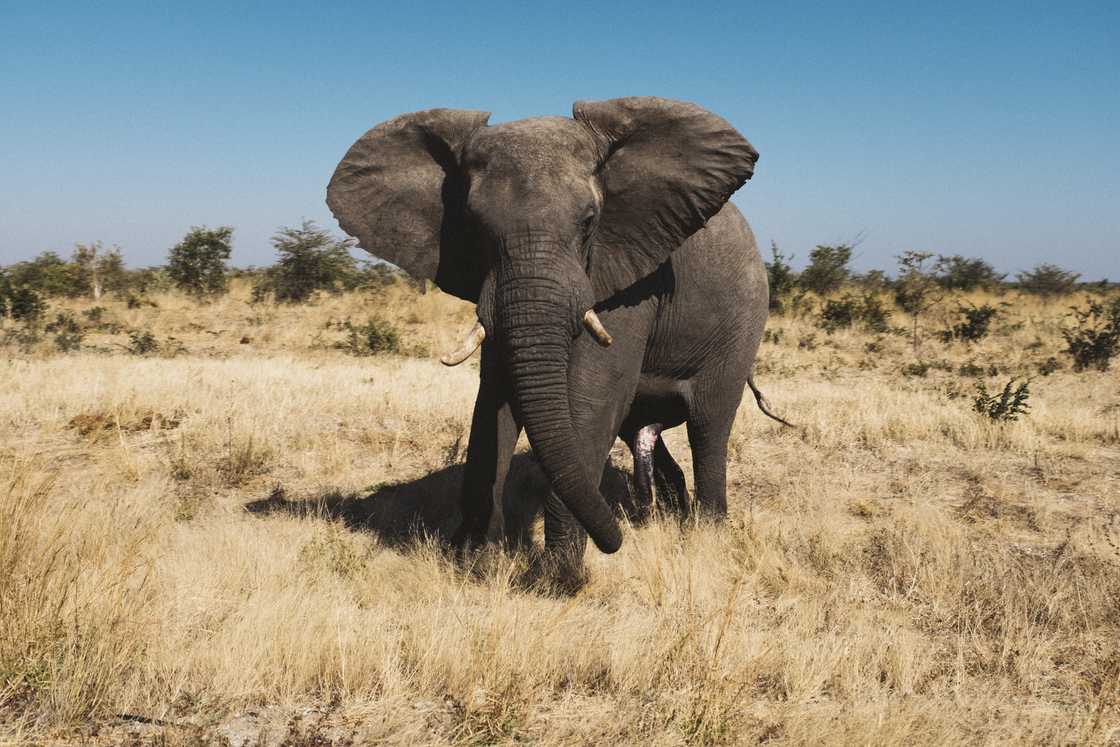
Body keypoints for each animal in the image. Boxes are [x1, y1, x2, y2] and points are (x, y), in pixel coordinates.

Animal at [327, 96, 787, 572]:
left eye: (589, 221)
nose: (617, 541)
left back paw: (705, 533)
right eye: (472, 225)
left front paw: (557, 575)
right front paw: (474, 560)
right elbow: (493, 396)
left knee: (709, 423)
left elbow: (593, 392)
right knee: (644, 430)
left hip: (743, 320)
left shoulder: (630, 270)